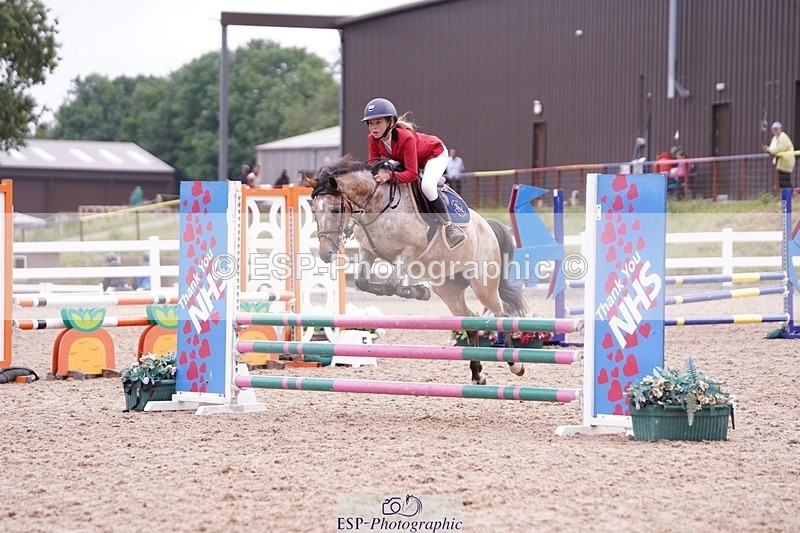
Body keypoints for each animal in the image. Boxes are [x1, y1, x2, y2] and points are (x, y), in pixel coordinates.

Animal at [304, 156, 529, 385]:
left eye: (335, 210)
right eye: (314, 211)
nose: (326, 254)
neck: (377, 203)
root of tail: (488, 227)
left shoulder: (409, 251)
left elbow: (390, 285)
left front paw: (416, 291)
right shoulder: (367, 250)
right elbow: (364, 283)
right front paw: (418, 291)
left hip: (483, 284)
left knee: (501, 313)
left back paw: (515, 364)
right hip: (447, 287)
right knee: (470, 319)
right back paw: (477, 374)